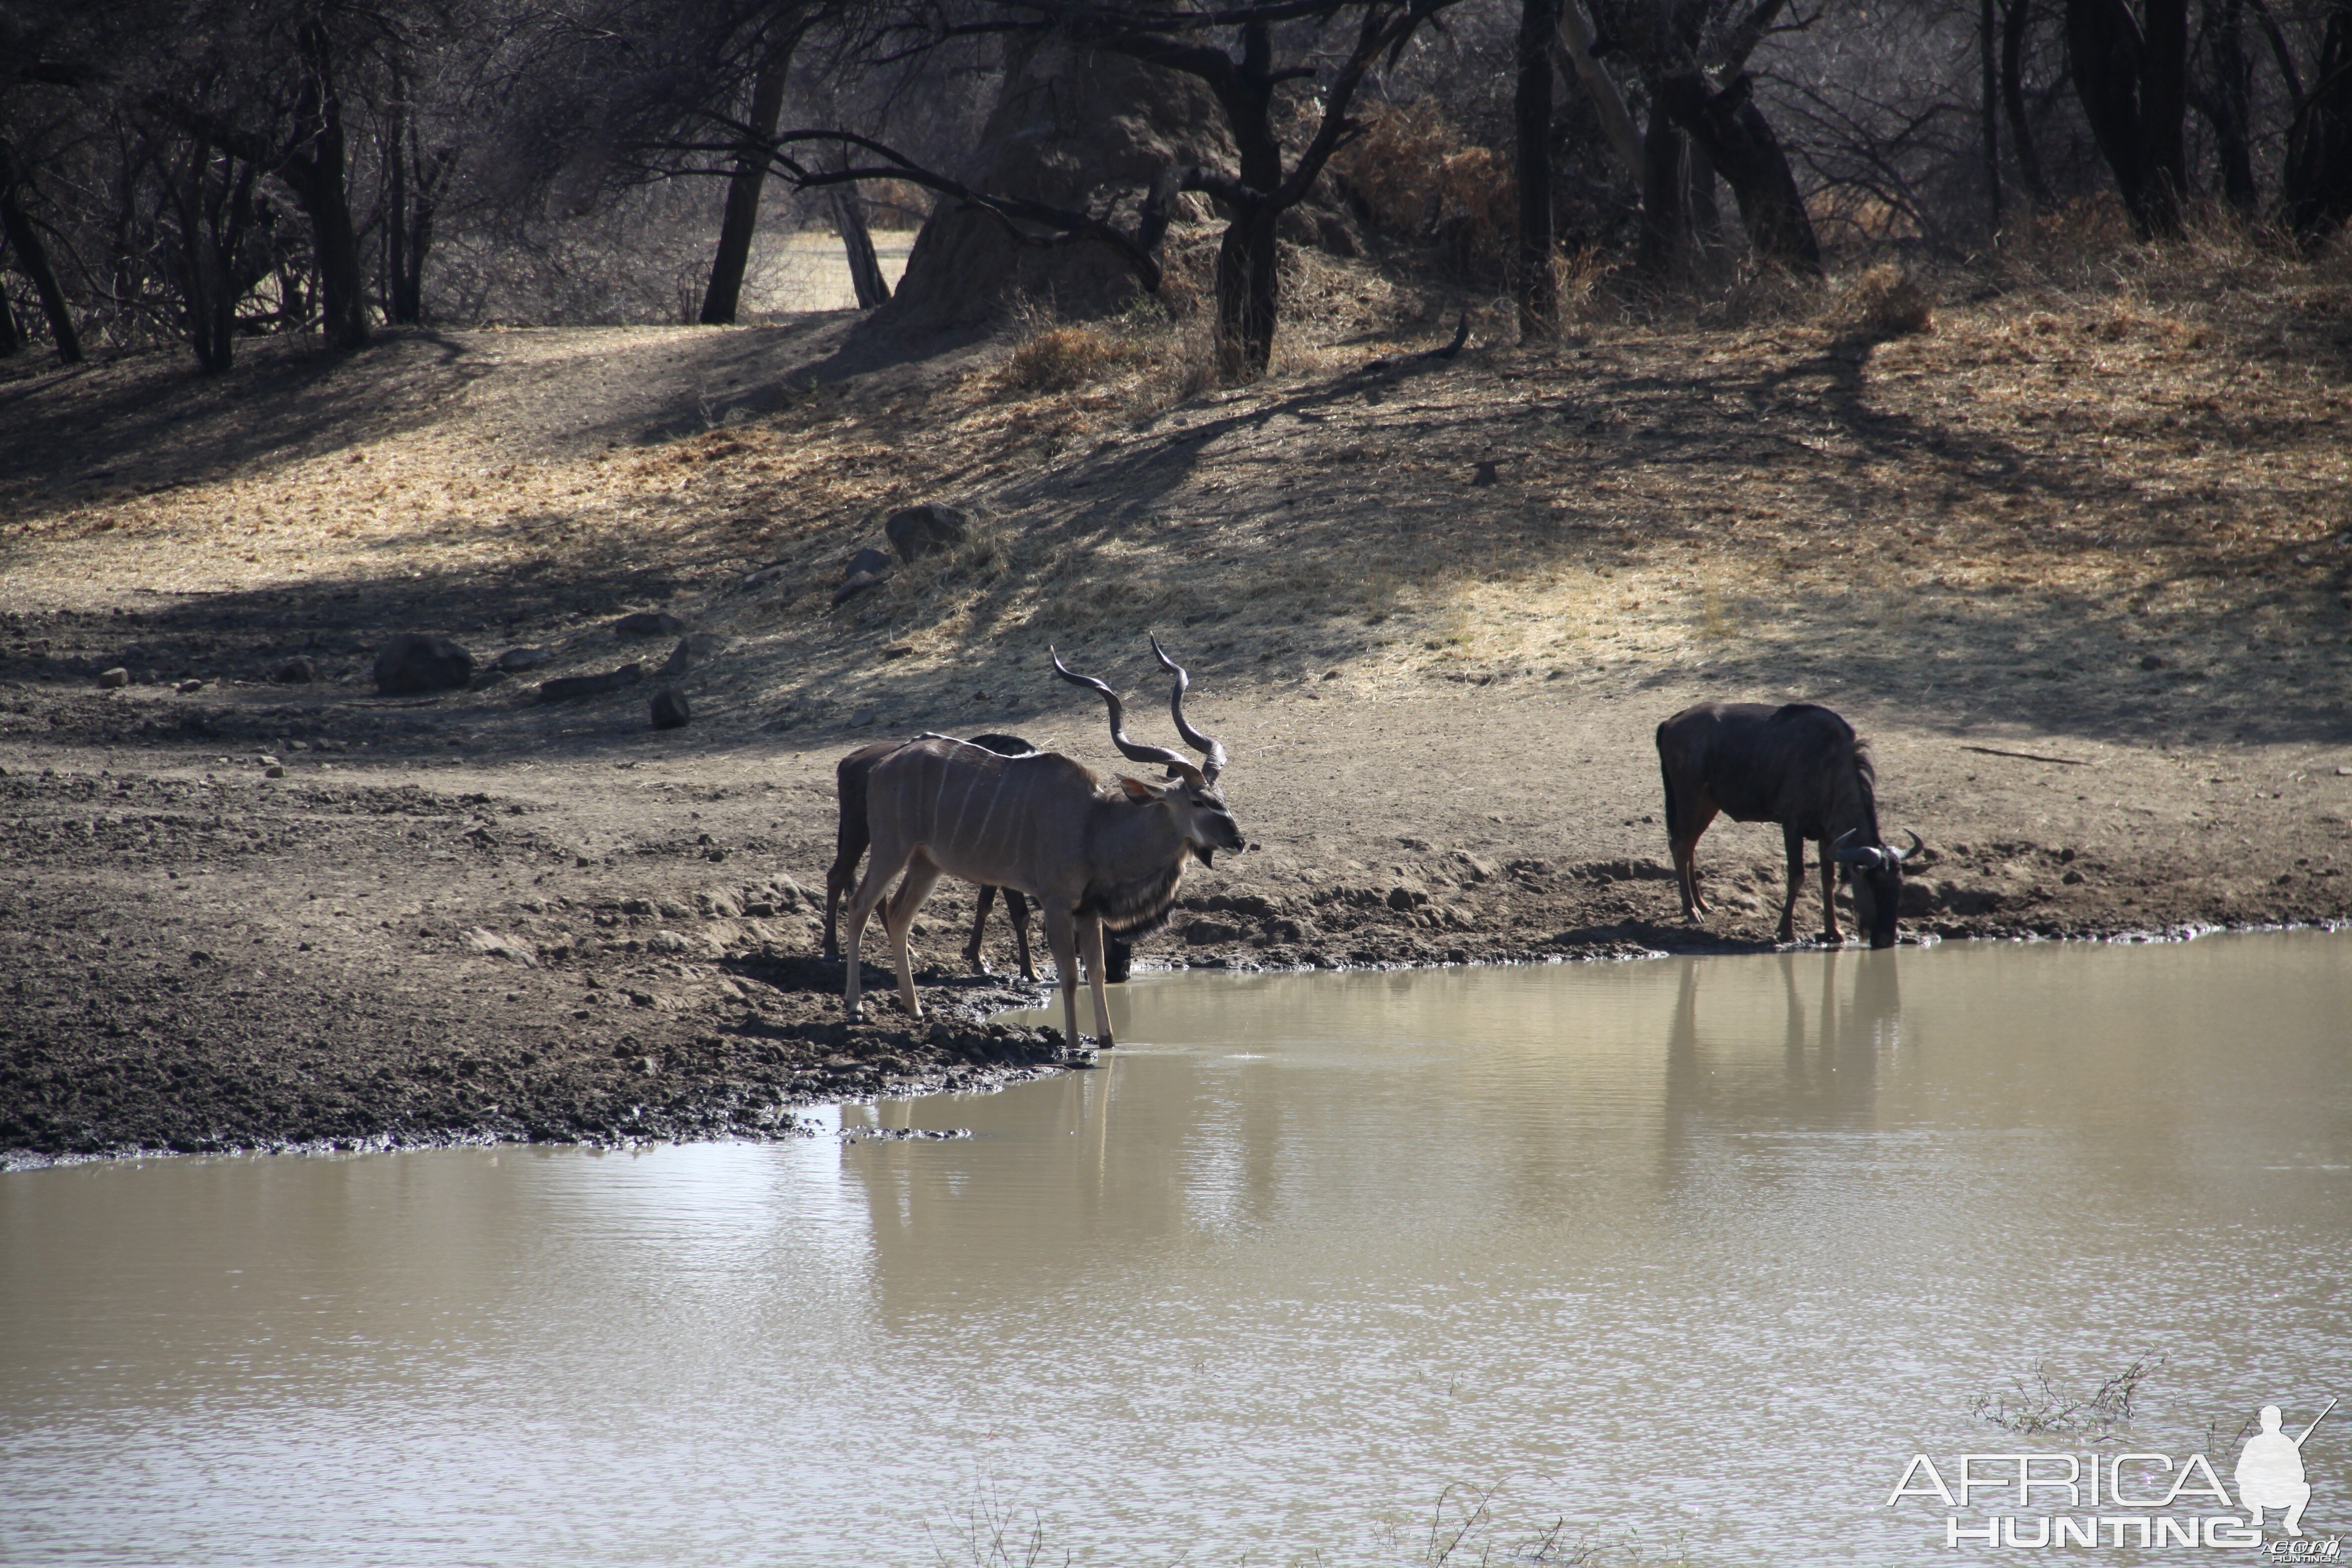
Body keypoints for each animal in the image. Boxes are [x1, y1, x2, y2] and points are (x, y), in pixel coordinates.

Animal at [846, 639, 1251, 1053]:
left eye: (1221, 797)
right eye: (1198, 802)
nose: (1238, 841)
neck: (1094, 824)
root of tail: (883, 764)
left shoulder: (1088, 912)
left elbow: (1097, 971)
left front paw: (1107, 1041)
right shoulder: (1057, 904)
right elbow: (1070, 975)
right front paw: (1073, 1047)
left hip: (927, 863)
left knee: (898, 914)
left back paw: (915, 1011)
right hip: (890, 848)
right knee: (861, 905)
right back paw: (855, 1007)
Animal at [1665, 705, 1919, 949]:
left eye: (1898, 885)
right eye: (1870, 884)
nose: (1886, 940)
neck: (1828, 766)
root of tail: (1672, 722)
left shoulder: (1828, 837)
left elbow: (1829, 880)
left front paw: (1834, 932)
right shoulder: (1792, 827)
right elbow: (1796, 877)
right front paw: (1786, 931)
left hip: (1707, 804)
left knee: (1690, 846)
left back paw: (1702, 904)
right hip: (1691, 799)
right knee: (1680, 845)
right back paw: (1691, 911)